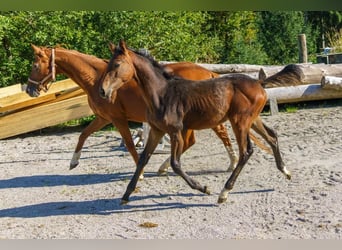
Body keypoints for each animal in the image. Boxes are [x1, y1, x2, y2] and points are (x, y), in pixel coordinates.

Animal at [26, 46, 240, 177]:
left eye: (35, 65)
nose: (29, 90)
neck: (96, 79)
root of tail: (208, 72)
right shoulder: (103, 118)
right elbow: (83, 134)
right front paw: (73, 162)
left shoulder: (117, 119)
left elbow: (129, 144)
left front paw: (141, 171)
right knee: (198, 139)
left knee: (214, 135)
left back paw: (231, 161)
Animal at [99, 41, 292, 204]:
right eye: (108, 64)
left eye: (117, 65)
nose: (102, 90)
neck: (162, 94)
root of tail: (259, 82)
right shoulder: (156, 130)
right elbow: (143, 159)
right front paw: (126, 195)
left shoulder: (175, 131)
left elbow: (176, 164)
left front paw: (203, 188)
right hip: (252, 120)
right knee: (272, 136)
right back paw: (285, 171)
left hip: (240, 121)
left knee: (246, 152)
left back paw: (224, 192)